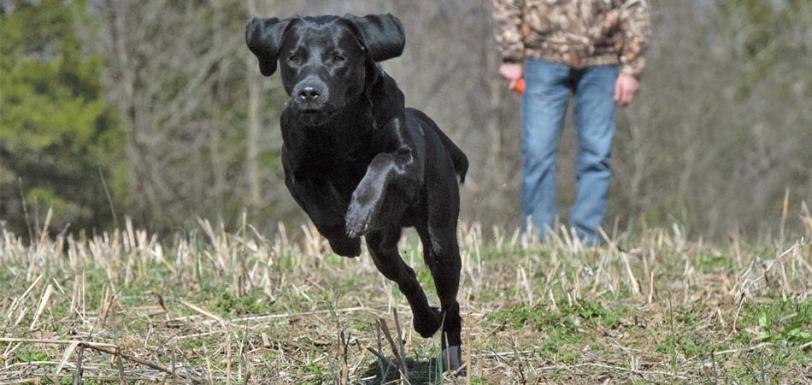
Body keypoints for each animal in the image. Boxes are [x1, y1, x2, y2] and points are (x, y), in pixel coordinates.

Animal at [244, 14, 466, 368]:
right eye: (294, 57)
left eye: (338, 58)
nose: (309, 92)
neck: (341, 125)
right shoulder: (296, 171)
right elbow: (321, 212)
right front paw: (344, 240)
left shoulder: (405, 158)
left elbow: (380, 161)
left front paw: (359, 211)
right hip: (382, 247)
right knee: (405, 275)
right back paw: (425, 320)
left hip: (441, 238)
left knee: (450, 302)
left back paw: (452, 355)